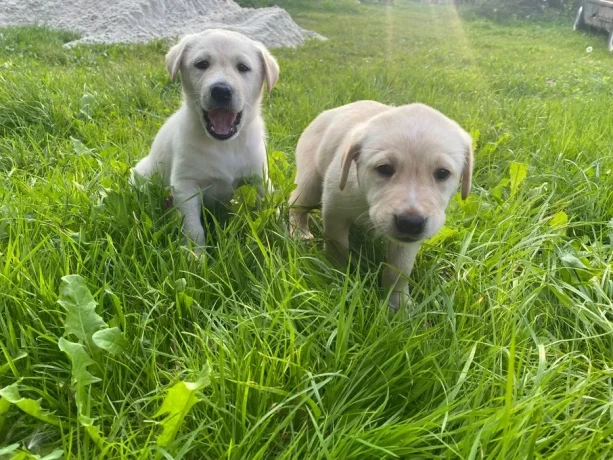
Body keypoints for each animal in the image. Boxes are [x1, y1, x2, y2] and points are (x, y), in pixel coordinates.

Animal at [134, 27, 280, 252]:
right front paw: (194, 256)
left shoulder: (259, 177)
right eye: (202, 64)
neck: (225, 145)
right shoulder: (185, 185)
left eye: (243, 67)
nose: (221, 90)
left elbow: (273, 206)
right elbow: (193, 228)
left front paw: (287, 236)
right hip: (143, 175)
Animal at [288, 100, 474, 310]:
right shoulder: (335, 210)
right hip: (310, 179)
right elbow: (338, 247)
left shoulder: (408, 242)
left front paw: (398, 303)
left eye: (442, 173)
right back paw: (299, 233)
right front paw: (337, 275)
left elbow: (399, 270)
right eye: (384, 169)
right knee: (296, 204)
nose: (410, 223)